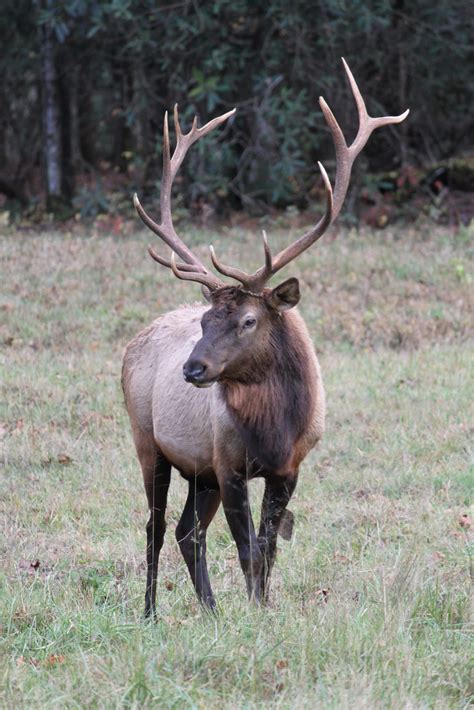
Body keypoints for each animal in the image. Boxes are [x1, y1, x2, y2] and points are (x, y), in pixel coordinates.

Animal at [122, 59, 408, 616]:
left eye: (248, 320)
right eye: (204, 321)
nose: (193, 368)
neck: (274, 427)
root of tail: (132, 343)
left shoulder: (288, 467)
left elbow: (269, 547)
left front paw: (262, 610)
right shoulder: (229, 464)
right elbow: (248, 549)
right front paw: (254, 615)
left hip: (199, 471)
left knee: (187, 531)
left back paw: (210, 611)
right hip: (150, 442)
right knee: (154, 528)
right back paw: (149, 612)